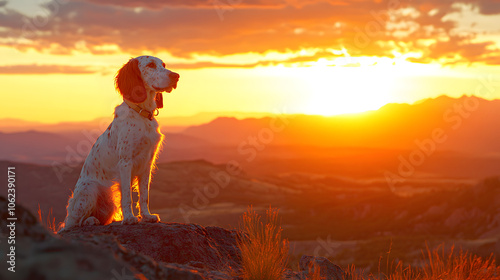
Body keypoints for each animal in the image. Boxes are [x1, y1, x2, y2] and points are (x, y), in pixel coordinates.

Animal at [61, 55, 180, 230]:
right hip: (90, 189)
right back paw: (90, 221)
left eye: (163, 65)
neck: (141, 114)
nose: (176, 76)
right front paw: (129, 218)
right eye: (151, 65)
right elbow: (127, 197)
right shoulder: (125, 162)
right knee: (75, 222)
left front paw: (146, 216)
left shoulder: (147, 164)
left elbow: (144, 195)